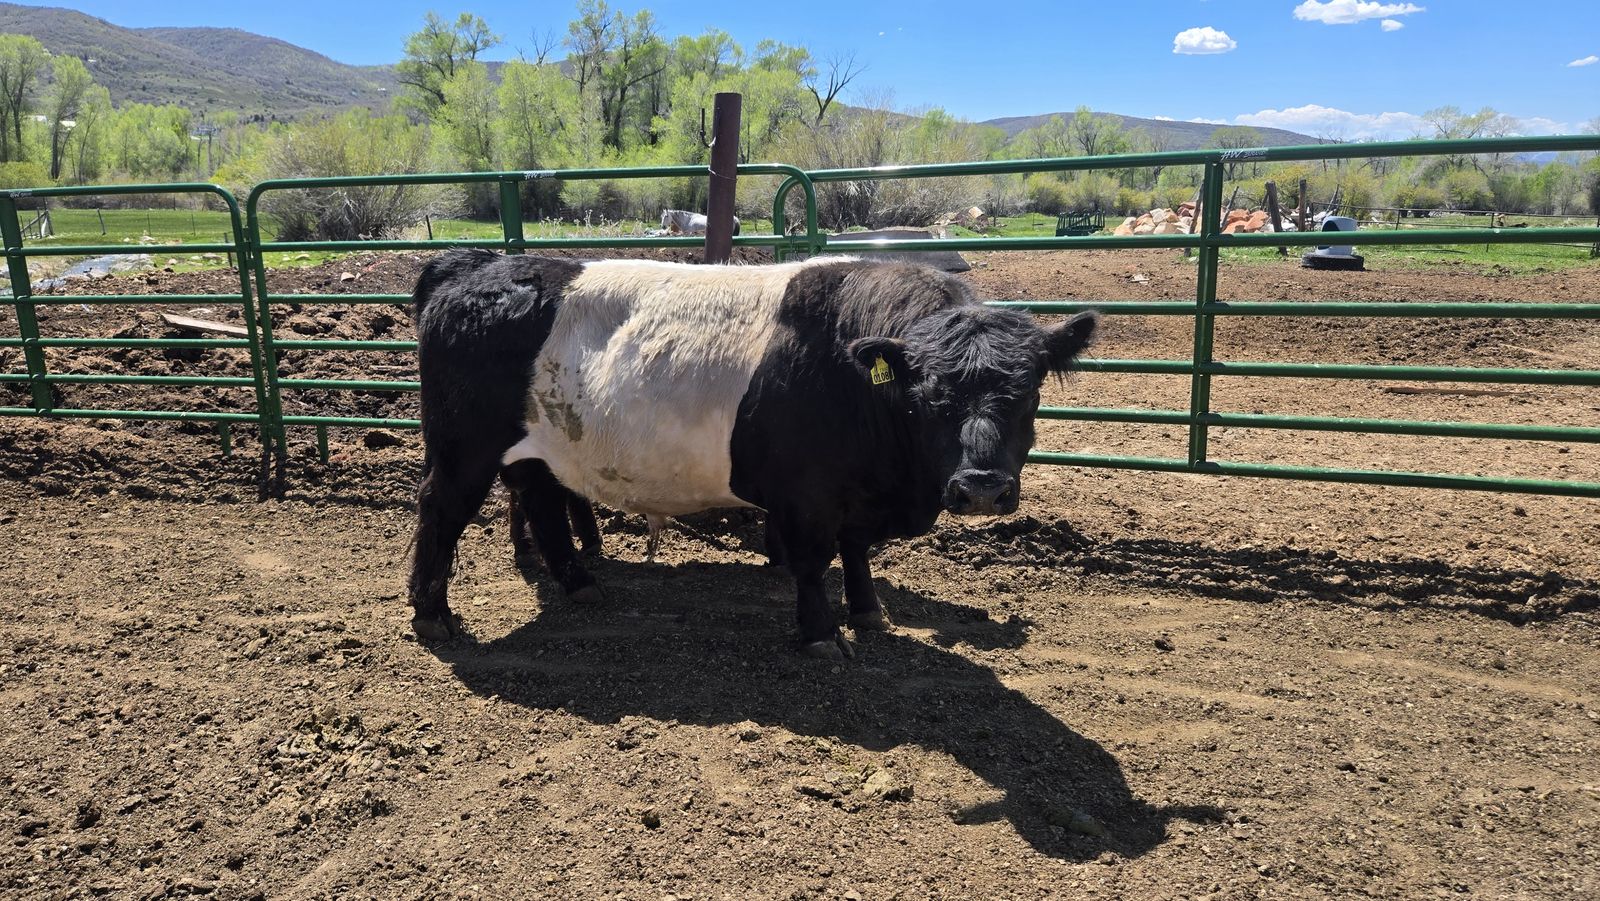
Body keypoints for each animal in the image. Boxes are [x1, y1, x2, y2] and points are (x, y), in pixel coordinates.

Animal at [408, 250, 1096, 659]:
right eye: (930, 396)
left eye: (1030, 391)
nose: (981, 487)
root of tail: (478, 267)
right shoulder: (809, 495)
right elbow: (815, 559)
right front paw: (821, 634)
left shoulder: (856, 492)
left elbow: (856, 553)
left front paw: (868, 612)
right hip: (464, 448)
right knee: (441, 509)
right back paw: (432, 614)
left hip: (534, 449)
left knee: (542, 502)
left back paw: (580, 584)